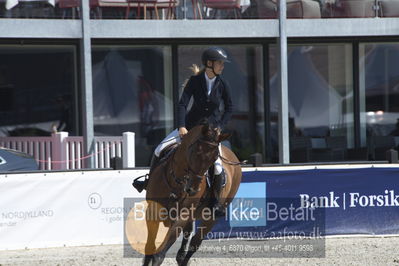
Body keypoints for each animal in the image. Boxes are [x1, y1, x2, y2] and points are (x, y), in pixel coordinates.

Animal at [141, 123, 242, 266]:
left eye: (214, 158)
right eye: (195, 152)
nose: (193, 189)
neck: (176, 181)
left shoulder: (182, 216)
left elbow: (159, 254)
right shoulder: (152, 211)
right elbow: (149, 248)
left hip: (211, 216)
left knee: (195, 242)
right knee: (188, 234)